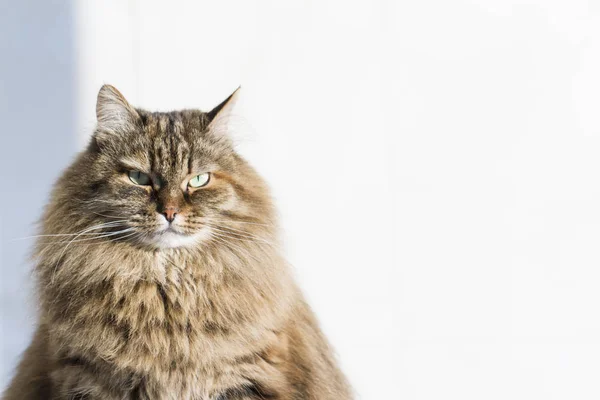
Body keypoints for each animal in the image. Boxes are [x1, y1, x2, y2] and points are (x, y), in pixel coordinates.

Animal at [2, 86, 352, 398]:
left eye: (198, 180)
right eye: (139, 178)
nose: (170, 211)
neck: (168, 287)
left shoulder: (246, 377)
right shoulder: (87, 378)